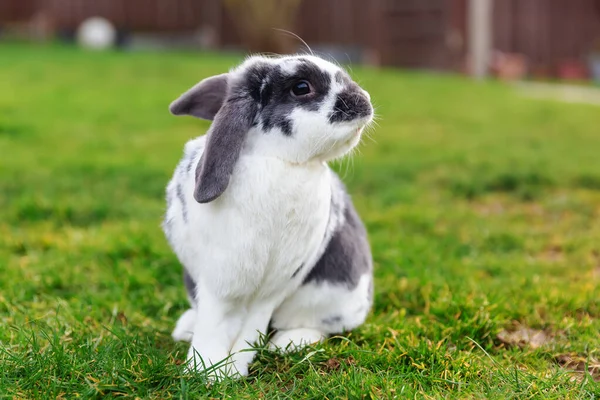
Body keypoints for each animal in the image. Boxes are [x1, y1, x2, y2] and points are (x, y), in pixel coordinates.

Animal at [162, 54, 372, 378]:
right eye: (302, 87)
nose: (365, 101)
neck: (277, 161)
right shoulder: (219, 281)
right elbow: (215, 323)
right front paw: (205, 371)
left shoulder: (274, 285)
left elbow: (250, 329)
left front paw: (231, 370)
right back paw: (185, 328)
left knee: (318, 326)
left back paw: (286, 343)